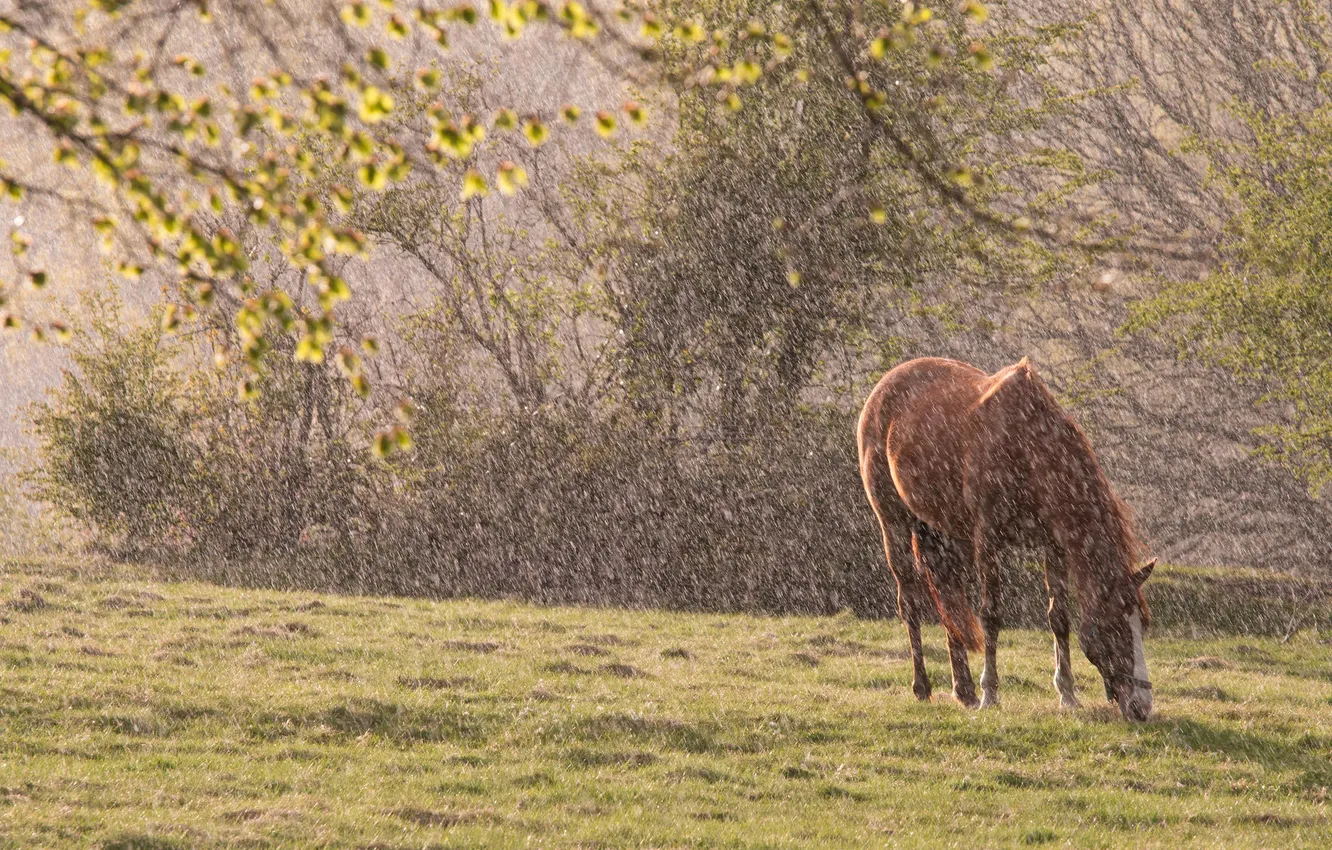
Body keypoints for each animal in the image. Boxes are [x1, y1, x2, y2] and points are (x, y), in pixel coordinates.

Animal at [856, 357, 1156, 721]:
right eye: (1114, 627)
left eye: (1142, 624)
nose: (1142, 707)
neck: (1028, 446)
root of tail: (884, 387)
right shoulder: (988, 541)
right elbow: (992, 615)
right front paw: (991, 693)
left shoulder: (1054, 546)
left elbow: (1058, 617)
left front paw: (1067, 694)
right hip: (894, 523)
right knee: (911, 603)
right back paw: (923, 687)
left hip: (946, 533)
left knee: (948, 598)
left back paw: (964, 690)